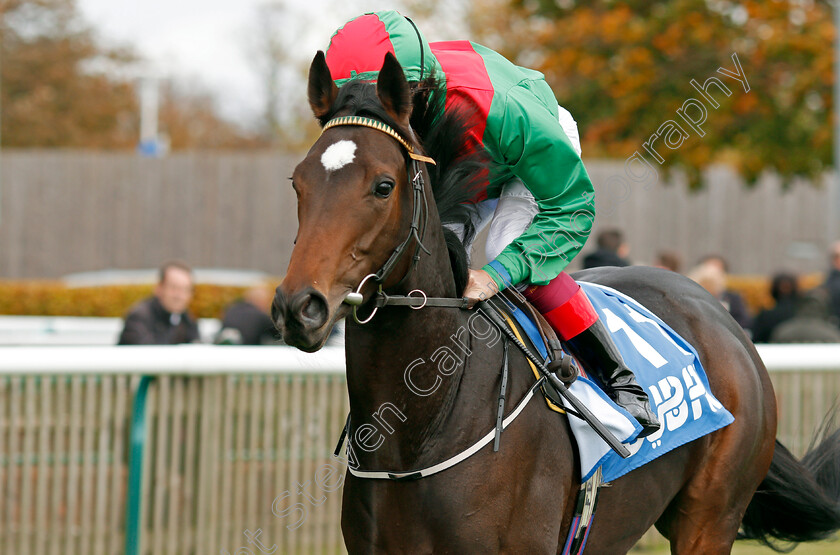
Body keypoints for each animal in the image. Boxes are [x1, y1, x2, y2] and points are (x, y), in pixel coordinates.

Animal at [270, 50, 840, 552]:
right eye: (297, 182)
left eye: (383, 185)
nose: (299, 307)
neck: (420, 430)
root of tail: (725, 321)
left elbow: (568, 203)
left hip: (710, 519)